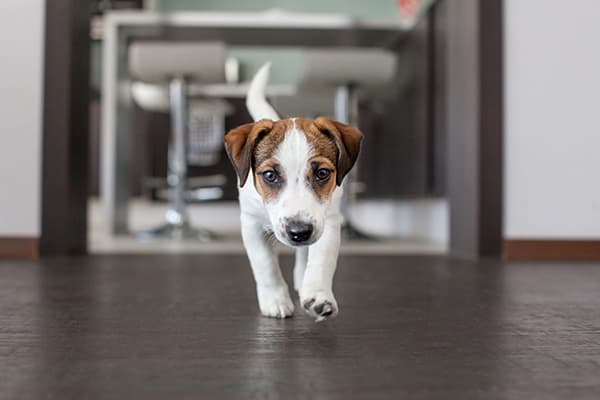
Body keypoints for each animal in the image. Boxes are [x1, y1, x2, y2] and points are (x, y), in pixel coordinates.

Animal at [225, 64, 364, 320]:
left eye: (322, 173)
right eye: (270, 175)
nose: (299, 232)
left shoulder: (328, 222)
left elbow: (320, 260)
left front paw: (318, 296)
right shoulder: (251, 224)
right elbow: (265, 264)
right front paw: (275, 300)